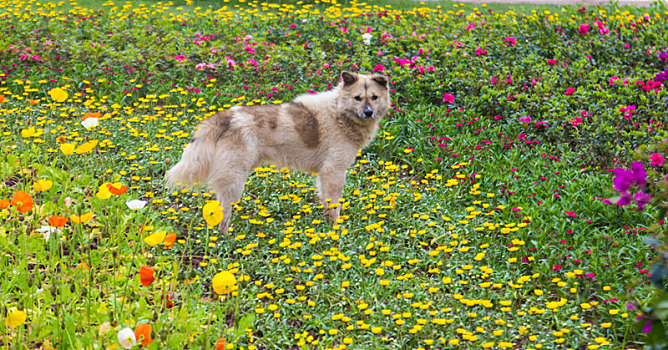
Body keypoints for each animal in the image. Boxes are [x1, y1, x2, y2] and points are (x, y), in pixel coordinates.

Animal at [165, 71, 392, 234]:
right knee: (224, 212)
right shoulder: (334, 171)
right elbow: (334, 205)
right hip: (235, 180)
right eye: (357, 98)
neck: (339, 113)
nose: (368, 112)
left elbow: (325, 202)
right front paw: (335, 230)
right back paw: (226, 237)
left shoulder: (325, 174)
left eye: (374, 97)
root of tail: (227, 117)